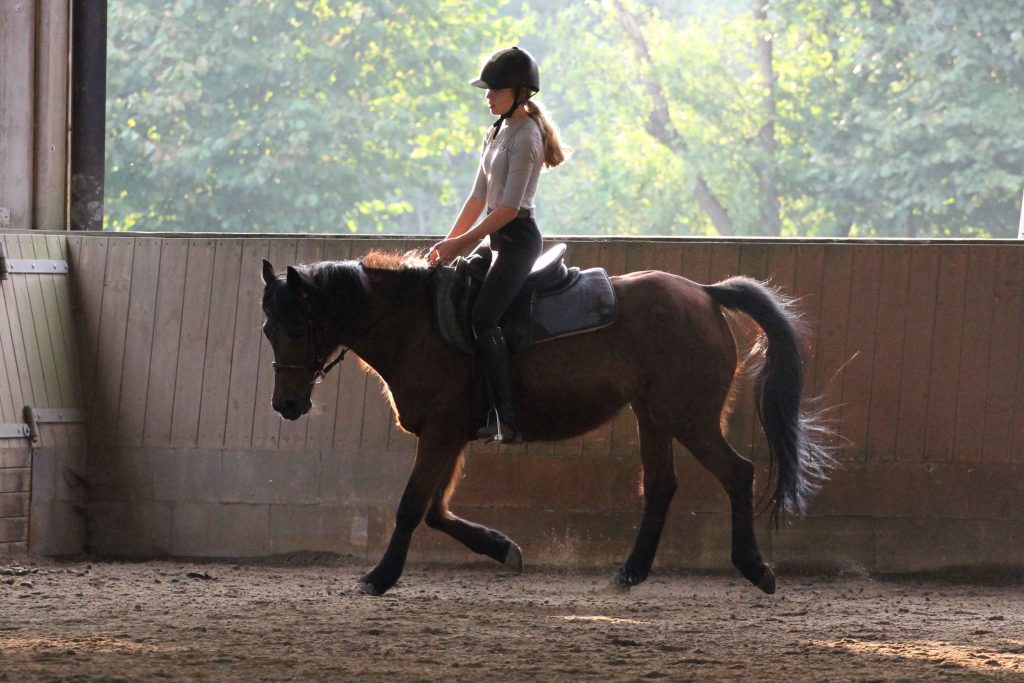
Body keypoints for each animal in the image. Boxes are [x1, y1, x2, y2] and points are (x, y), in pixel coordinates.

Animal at [258, 252, 831, 598]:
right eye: (267, 329)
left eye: (297, 325)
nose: (286, 404)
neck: (418, 328)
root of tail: (706, 293)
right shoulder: (451, 436)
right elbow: (437, 511)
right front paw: (502, 548)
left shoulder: (441, 434)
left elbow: (411, 507)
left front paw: (379, 577)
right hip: (653, 416)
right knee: (662, 486)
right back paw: (630, 572)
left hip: (688, 417)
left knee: (737, 473)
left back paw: (755, 569)